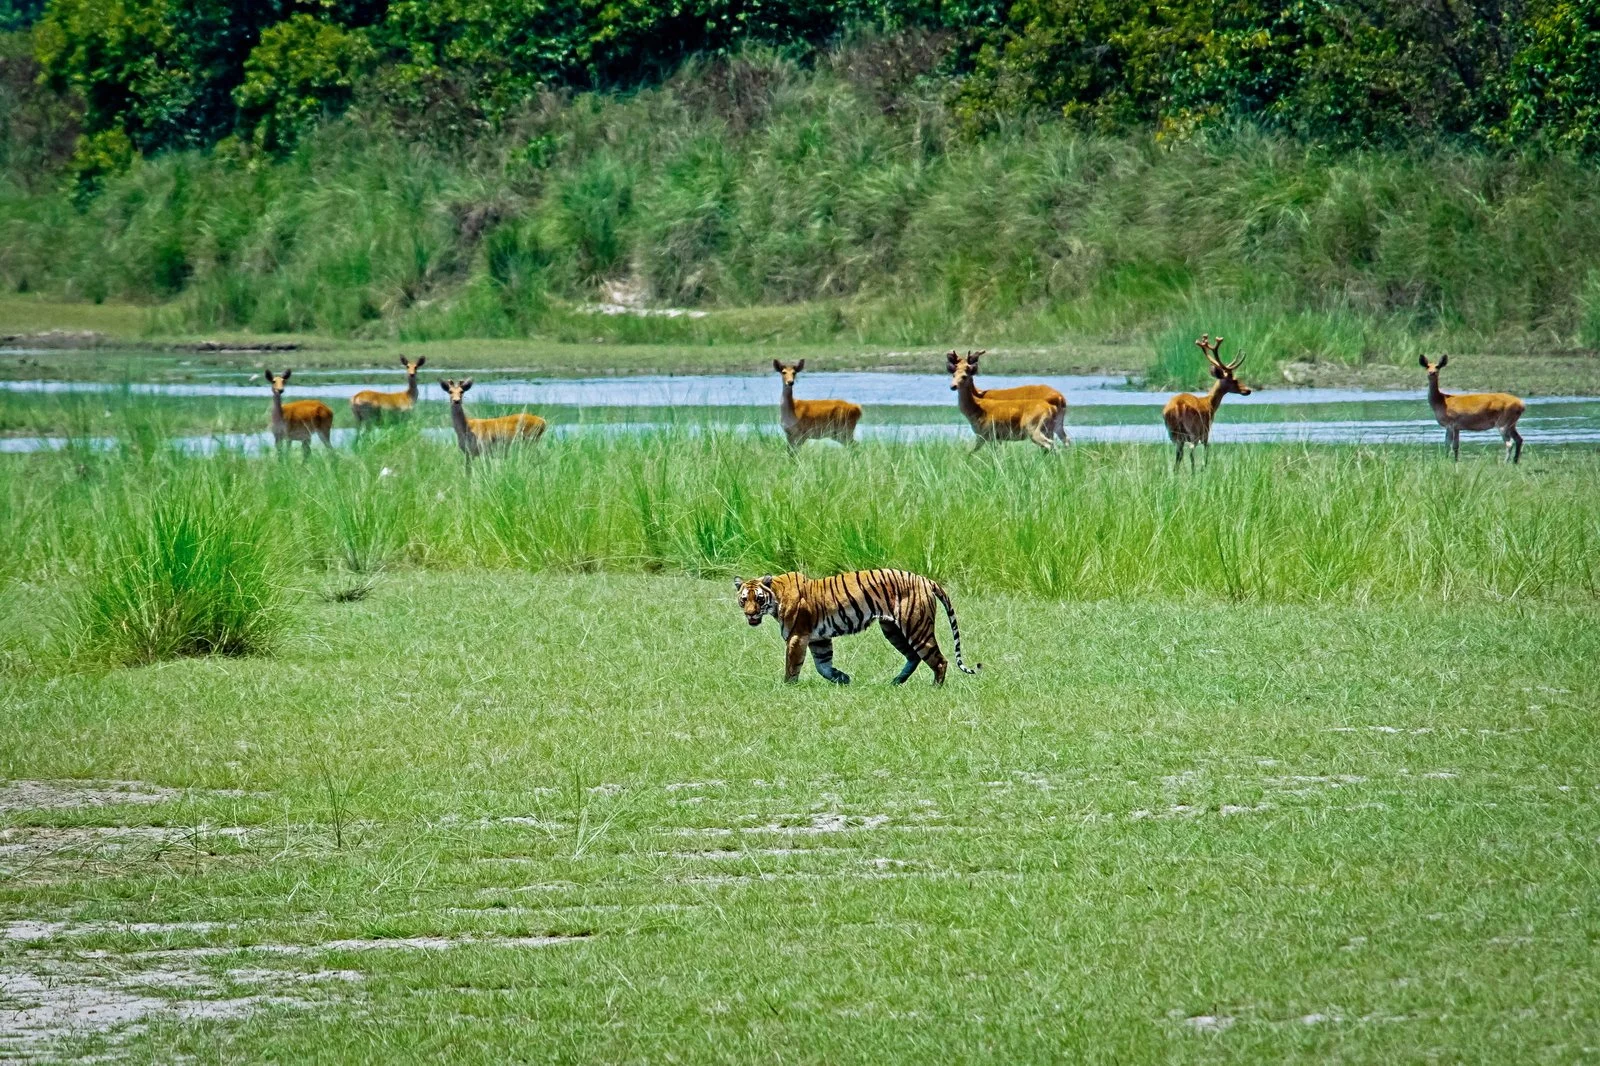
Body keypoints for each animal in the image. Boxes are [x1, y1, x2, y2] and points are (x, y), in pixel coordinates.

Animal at [734, 568, 980, 685]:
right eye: (744, 599)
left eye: (759, 599)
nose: (750, 614)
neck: (775, 594)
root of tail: (925, 579)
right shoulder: (818, 639)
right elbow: (823, 666)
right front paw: (843, 679)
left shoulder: (797, 636)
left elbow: (792, 666)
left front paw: (788, 688)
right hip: (892, 630)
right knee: (913, 656)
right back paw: (895, 682)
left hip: (916, 626)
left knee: (938, 660)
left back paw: (934, 688)